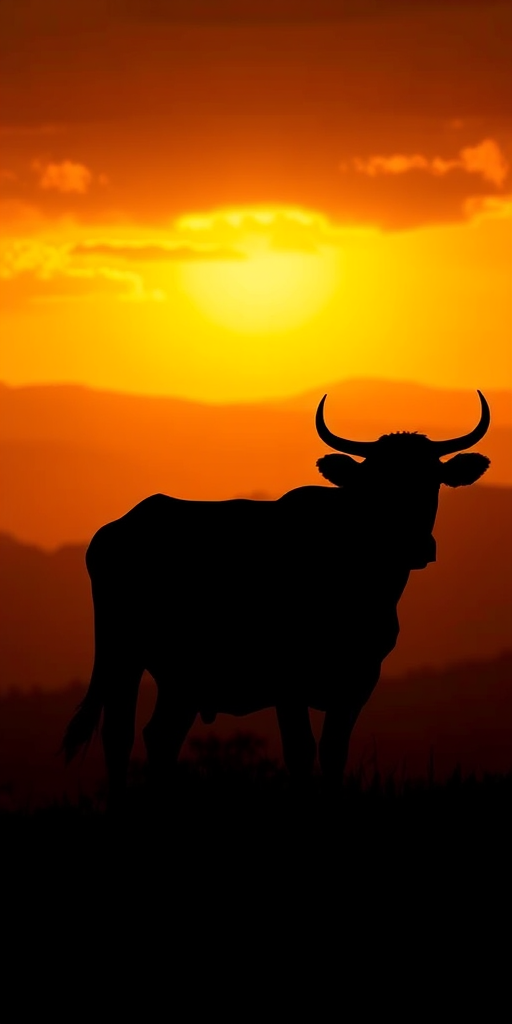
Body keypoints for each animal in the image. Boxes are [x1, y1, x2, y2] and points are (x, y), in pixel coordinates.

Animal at [62, 390, 490, 808]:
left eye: (433, 480)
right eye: (376, 484)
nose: (418, 545)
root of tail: (115, 529)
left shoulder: (359, 679)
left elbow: (334, 752)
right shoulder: (288, 681)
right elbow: (300, 751)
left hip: (181, 675)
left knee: (160, 735)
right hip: (122, 653)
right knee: (119, 734)